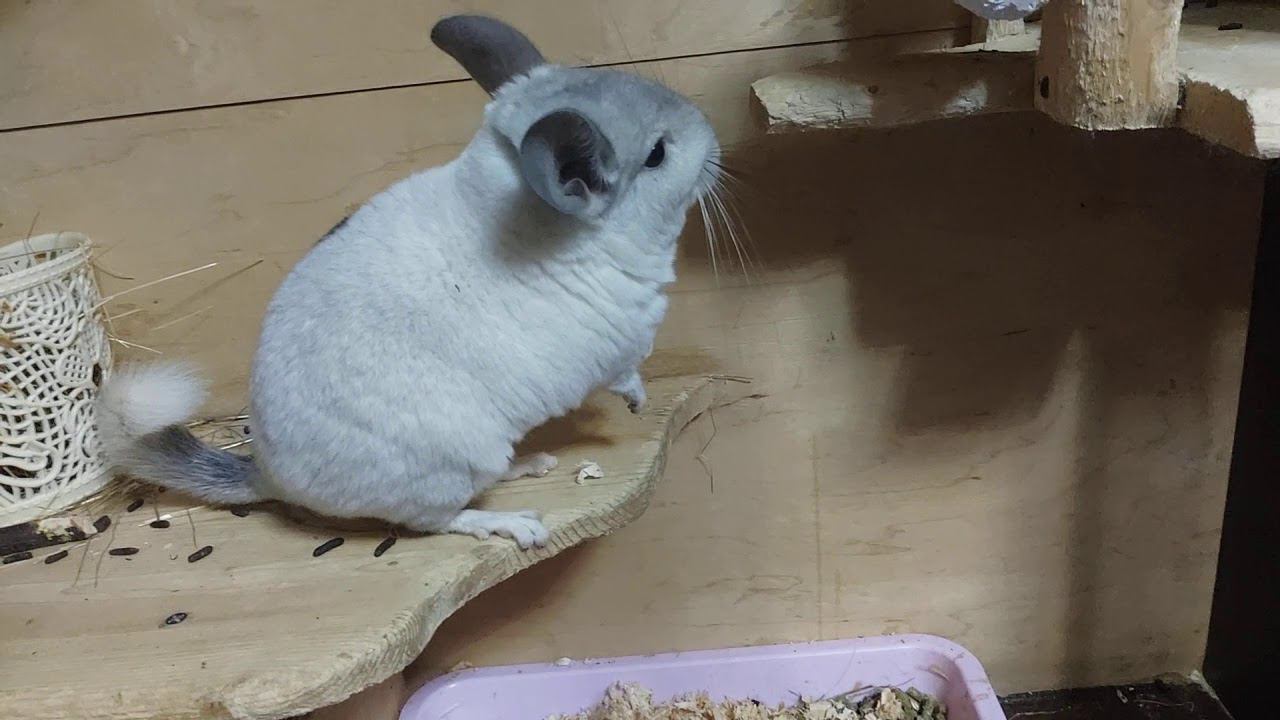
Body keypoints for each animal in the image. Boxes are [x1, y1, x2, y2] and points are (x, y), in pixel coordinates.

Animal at [96, 15, 721, 549]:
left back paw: (529, 464)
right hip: (450, 465)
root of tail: (271, 477)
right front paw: (638, 403)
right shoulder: (614, 353)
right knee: (436, 521)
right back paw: (514, 522)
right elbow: (626, 375)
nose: (713, 133)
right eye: (658, 154)